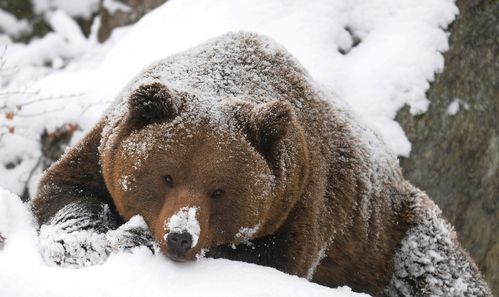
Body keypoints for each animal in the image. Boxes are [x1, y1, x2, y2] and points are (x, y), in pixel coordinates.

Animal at [31, 31, 492, 294]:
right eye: (166, 176)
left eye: (219, 189)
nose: (180, 236)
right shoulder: (102, 147)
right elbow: (65, 191)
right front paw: (85, 241)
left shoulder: (301, 198)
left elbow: (273, 259)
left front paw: (134, 238)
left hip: (392, 232)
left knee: (437, 269)